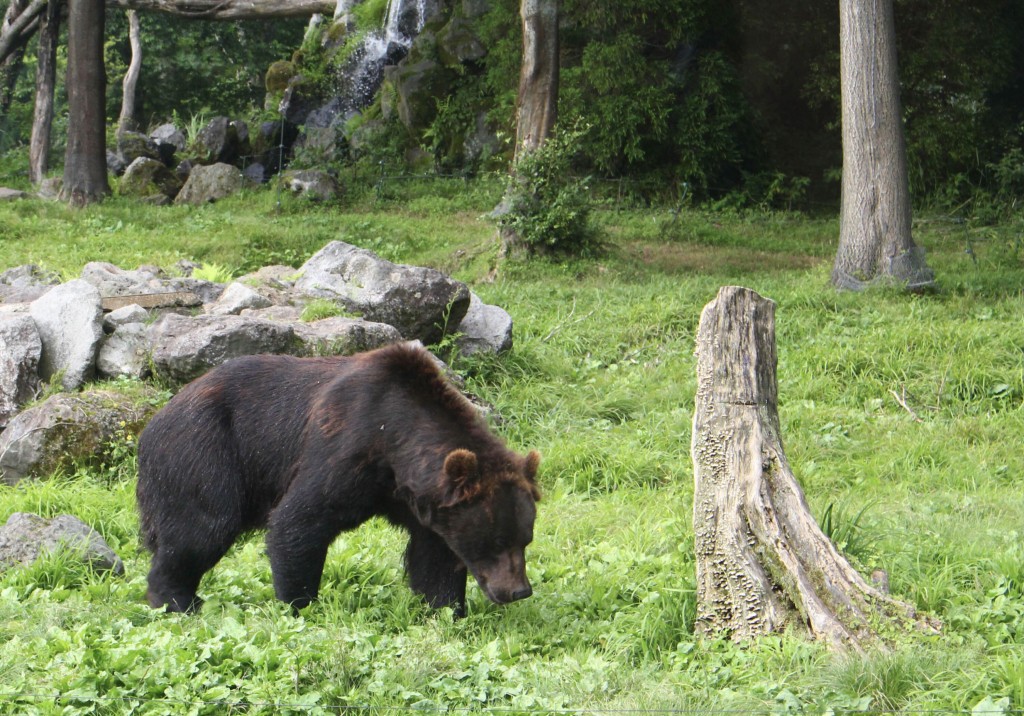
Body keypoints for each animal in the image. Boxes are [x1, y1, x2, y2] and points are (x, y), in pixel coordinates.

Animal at [136, 342, 541, 615]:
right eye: (495, 541)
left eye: (525, 539)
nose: (519, 591)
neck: (395, 444)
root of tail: (153, 422)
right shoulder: (345, 448)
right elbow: (298, 521)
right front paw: (299, 603)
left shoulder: (421, 502)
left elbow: (435, 556)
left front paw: (444, 609)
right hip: (204, 454)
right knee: (201, 529)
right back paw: (177, 599)